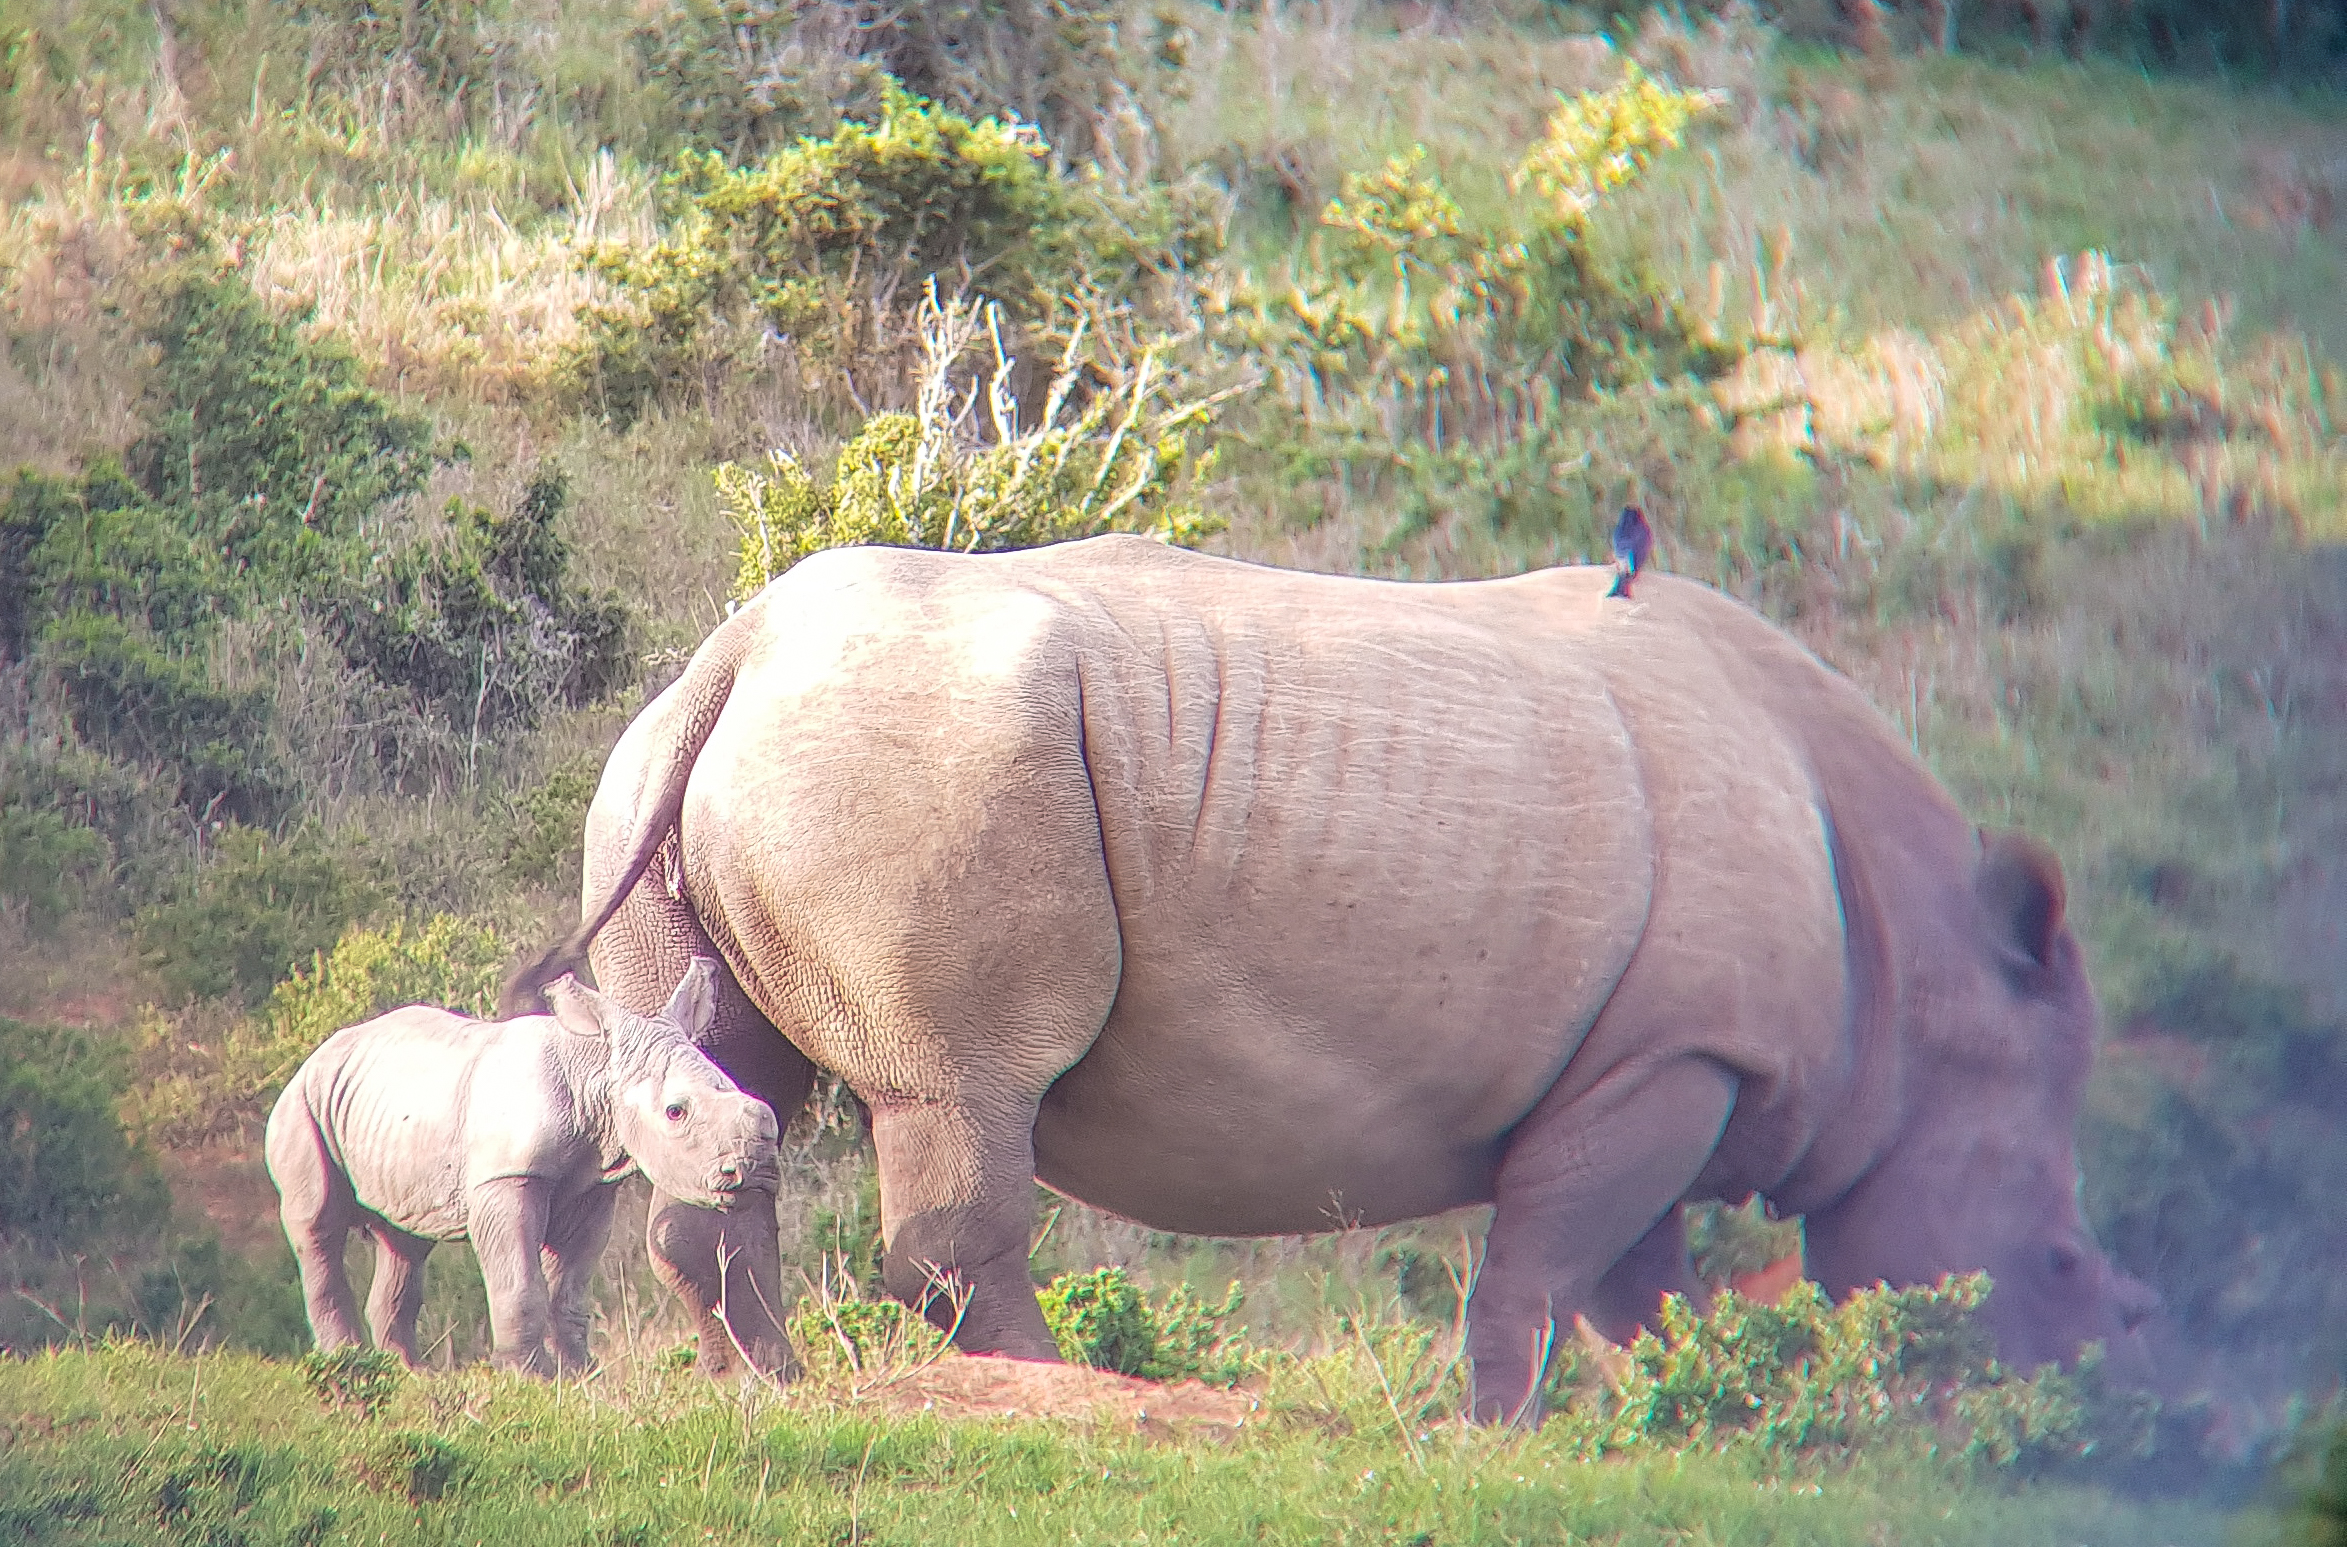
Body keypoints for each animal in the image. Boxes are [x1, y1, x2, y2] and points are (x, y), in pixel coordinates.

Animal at [266, 957, 779, 1380]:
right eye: (676, 1112)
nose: (754, 1170)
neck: (593, 1071)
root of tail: (317, 1054)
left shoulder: (592, 1187)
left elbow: (570, 1289)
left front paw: (581, 1376)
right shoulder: (507, 1176)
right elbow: (519, 1280)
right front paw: (528, 1377)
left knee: (405, 1241)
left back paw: (411, 1373)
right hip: (304, 1102)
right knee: (318, 1223)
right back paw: (347, 1363)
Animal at [504, 530, 2149, 1417]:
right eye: (2064, 1267)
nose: (2082, 1389)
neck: (1913, 970)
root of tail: (738, 649)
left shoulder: (1666, 1057)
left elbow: (1634, 1279)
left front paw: (1677, 1410)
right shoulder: (1673, 1054)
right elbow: (1553, 1261)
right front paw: (1507, 1431)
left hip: (680, 770)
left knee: (733, 1087)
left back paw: (769, 1385)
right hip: (920, 761)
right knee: (964, 1089)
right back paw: (1071, 1392)